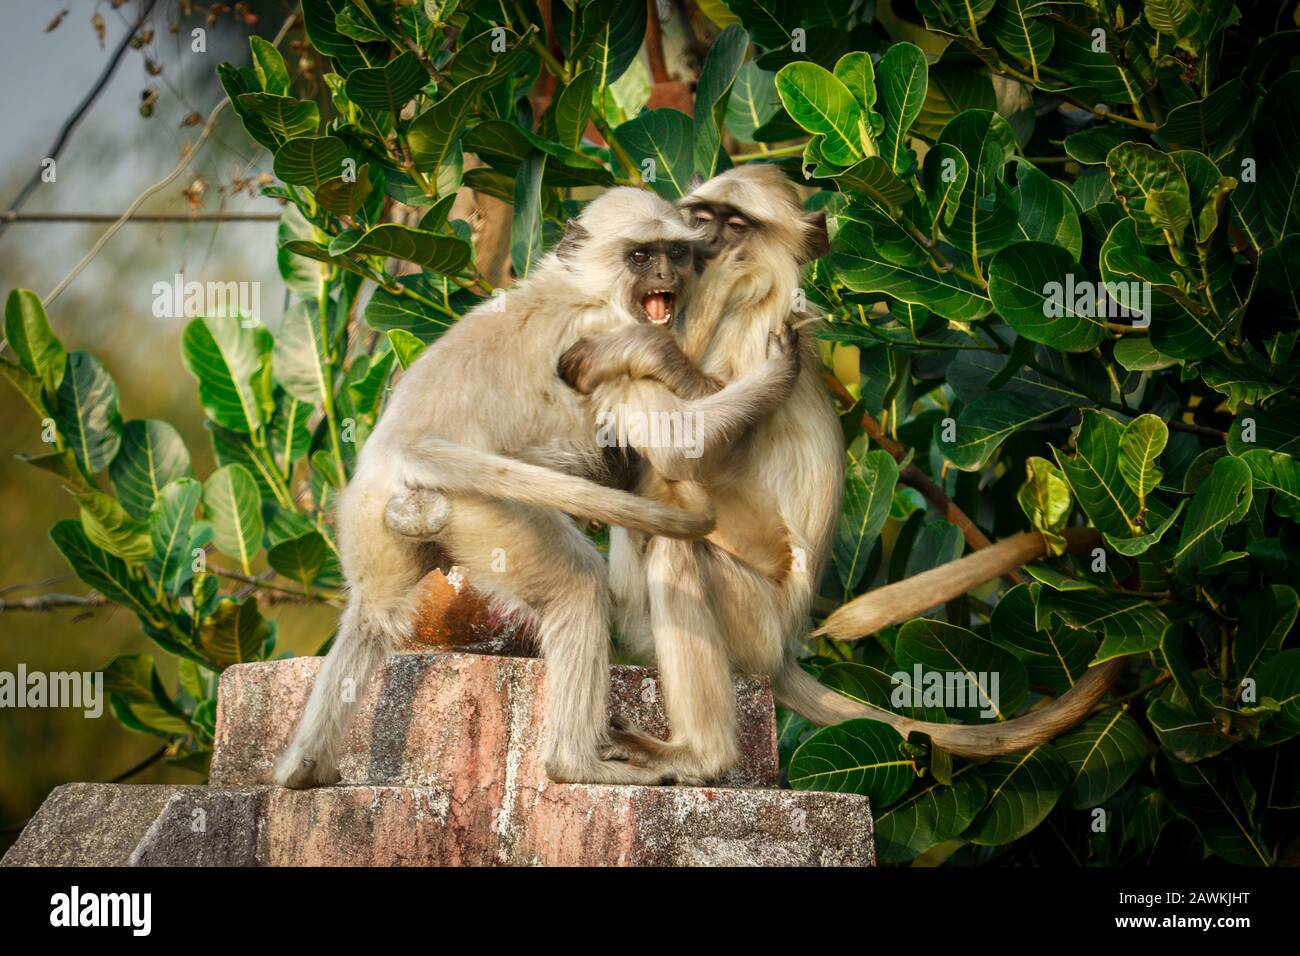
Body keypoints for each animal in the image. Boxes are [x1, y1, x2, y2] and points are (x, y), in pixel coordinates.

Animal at [272, 186, 805, 789]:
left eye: (675, 251)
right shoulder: (605, 337)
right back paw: (578, 763)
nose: (668, 272)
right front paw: (779, 373)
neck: (583, 286)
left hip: (372, 521)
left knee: (372, 616)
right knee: (578, 585)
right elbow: (674, 446)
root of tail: (399, 448)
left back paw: (304, 769)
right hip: (486, 515)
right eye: (641, 256)